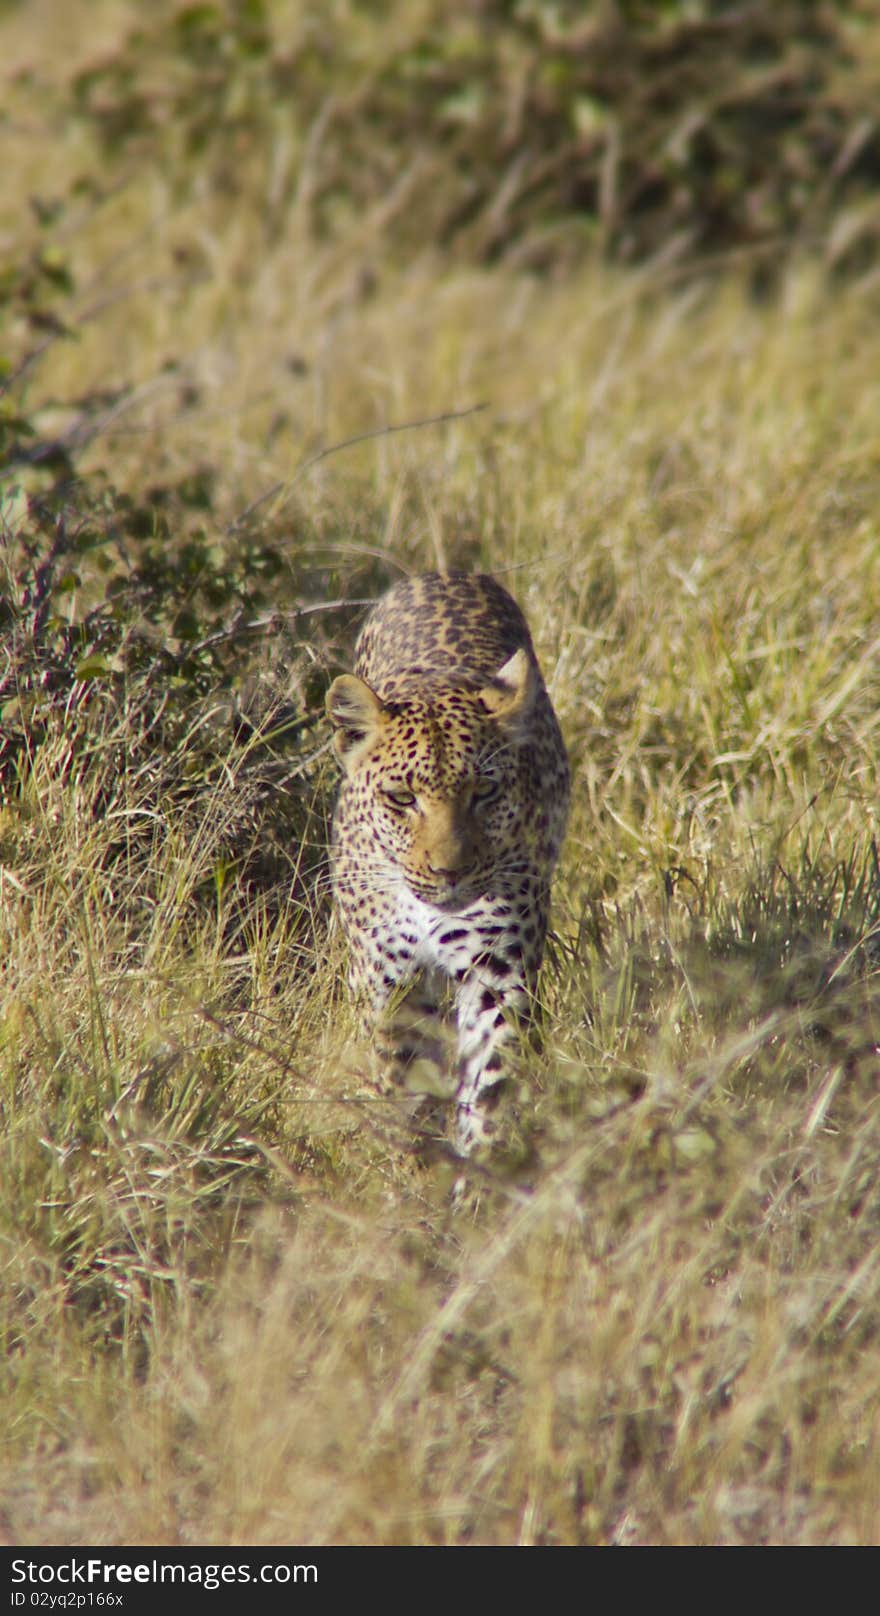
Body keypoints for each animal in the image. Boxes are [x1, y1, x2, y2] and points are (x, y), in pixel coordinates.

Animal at [324, 575, 568, 1157]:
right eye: (401, 798)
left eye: (485, 792)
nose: (449, 871)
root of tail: (442, 574)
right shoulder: (385, 980)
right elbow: (400, 1074)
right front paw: (413, 1159)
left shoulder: (496, 970)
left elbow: (490, 1077)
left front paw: (481, 1164)